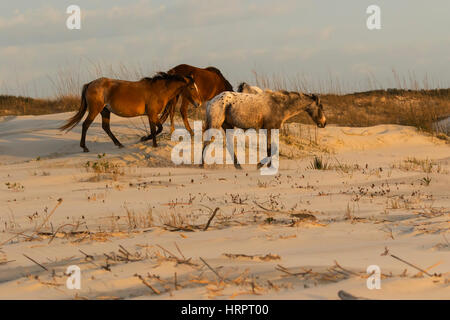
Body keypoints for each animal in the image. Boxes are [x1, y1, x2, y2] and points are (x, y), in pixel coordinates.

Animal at [59, 73, 200, 152]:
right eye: (192, 88)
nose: (198, 104)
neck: (159, 90)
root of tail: (90, 84)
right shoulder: (152, 114)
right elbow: (158, 129)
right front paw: (145, 139)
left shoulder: (151, 115)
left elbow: (154, 129)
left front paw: (153, 144)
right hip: (95, 110)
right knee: (86, 125)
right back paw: (84, 147)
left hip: (105, 111)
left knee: (105, 127)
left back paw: (119, 144)